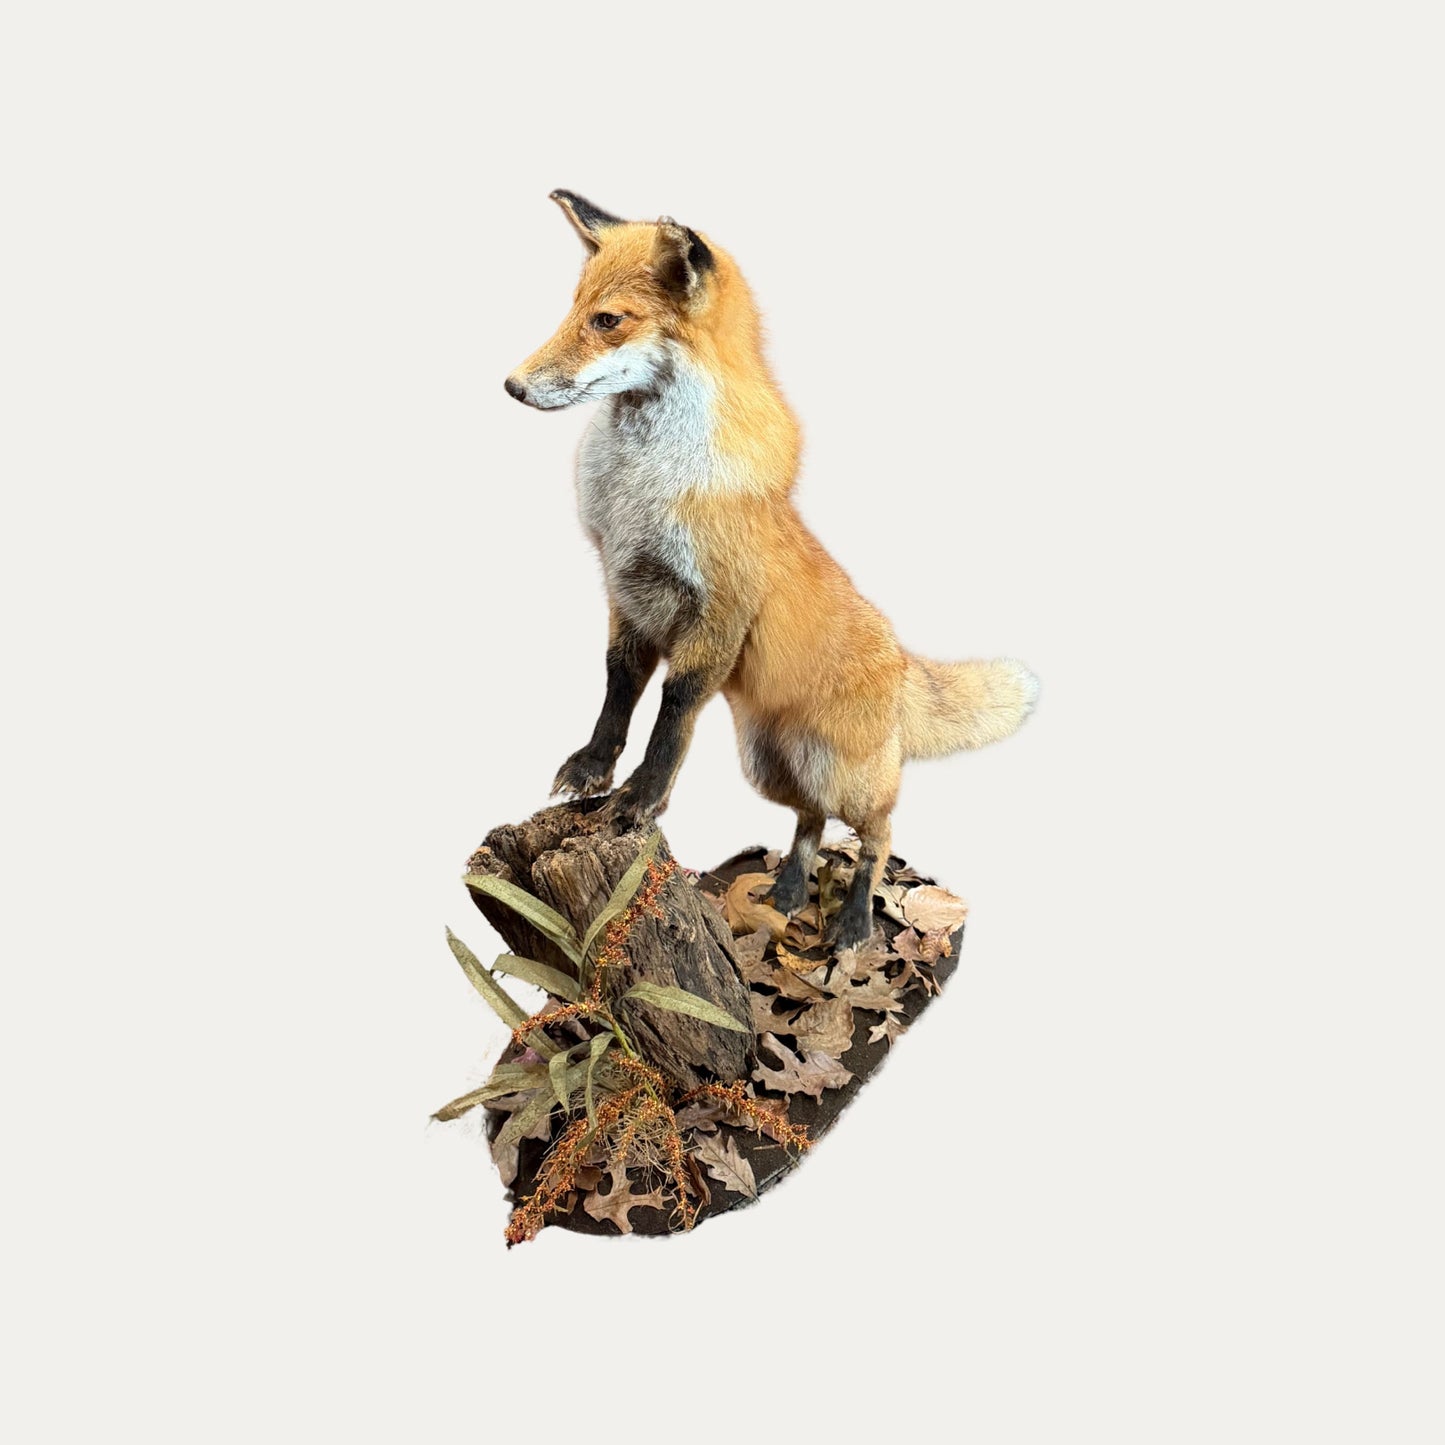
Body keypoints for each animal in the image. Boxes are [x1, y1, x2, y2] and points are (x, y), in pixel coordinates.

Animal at [504, 190, 1038, 949]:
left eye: (607, 321)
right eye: (572, 307)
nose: (512, 385)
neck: (641, 490)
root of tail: (901, 660)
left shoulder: (718, 613)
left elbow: (672, 716)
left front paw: (639, 798)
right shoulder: (626, 592)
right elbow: (617, 687)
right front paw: (594, 767)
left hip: (846, 777)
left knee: (878, 835)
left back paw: (852, 923)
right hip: (767, 765)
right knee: (810, 821)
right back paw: (787, 889)